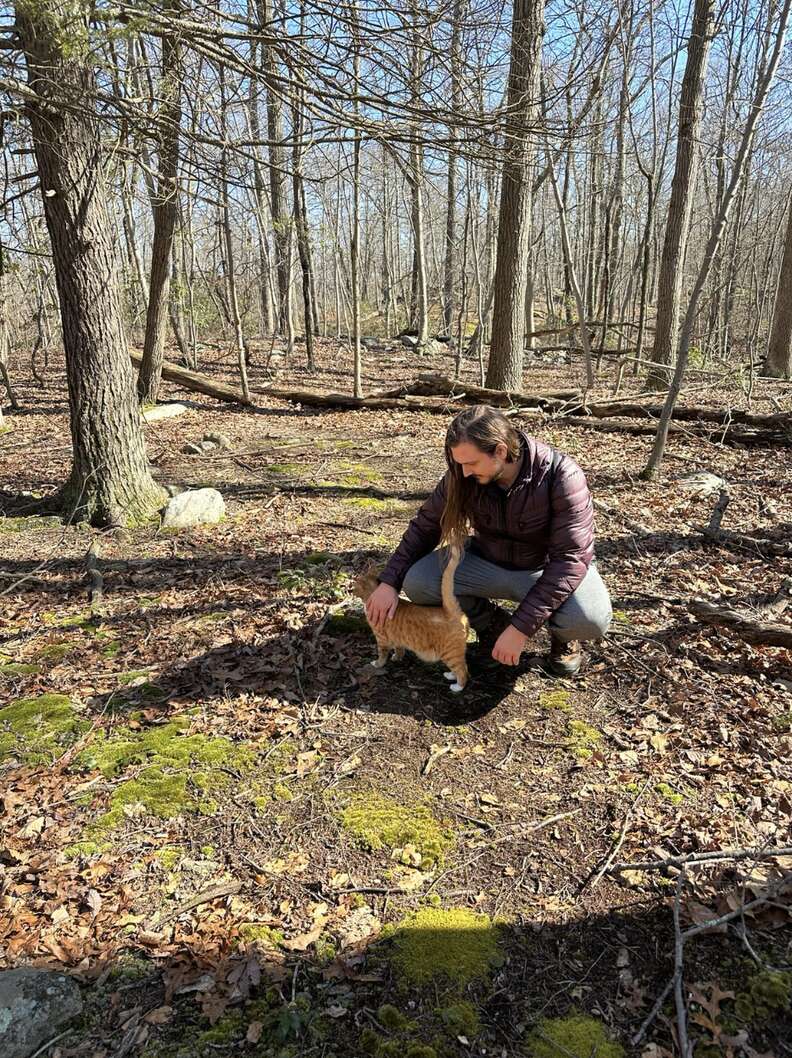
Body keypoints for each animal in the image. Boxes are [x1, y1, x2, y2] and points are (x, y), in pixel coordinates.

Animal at [348, 545, 467, 694]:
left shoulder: (381, 639)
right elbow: (399, 649)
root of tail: (450, 612)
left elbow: (382, 654)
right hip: (452, 653)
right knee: (460, 667)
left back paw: (457, 686)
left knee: (463, 671)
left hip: (450, 653)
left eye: (354, 586)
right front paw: (397, 657)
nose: (349, 590)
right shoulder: (397, 637)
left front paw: (378, 664)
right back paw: (450, 675)